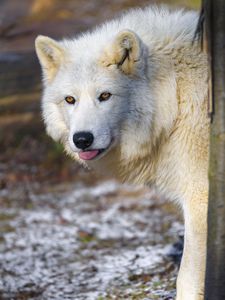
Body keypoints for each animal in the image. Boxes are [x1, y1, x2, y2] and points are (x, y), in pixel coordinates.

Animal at [35, 5, 209, 300]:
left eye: (105, 96)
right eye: (70, 100)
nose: (82, 139)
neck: (175, 98)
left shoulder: (201, 199)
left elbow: (186, 278)